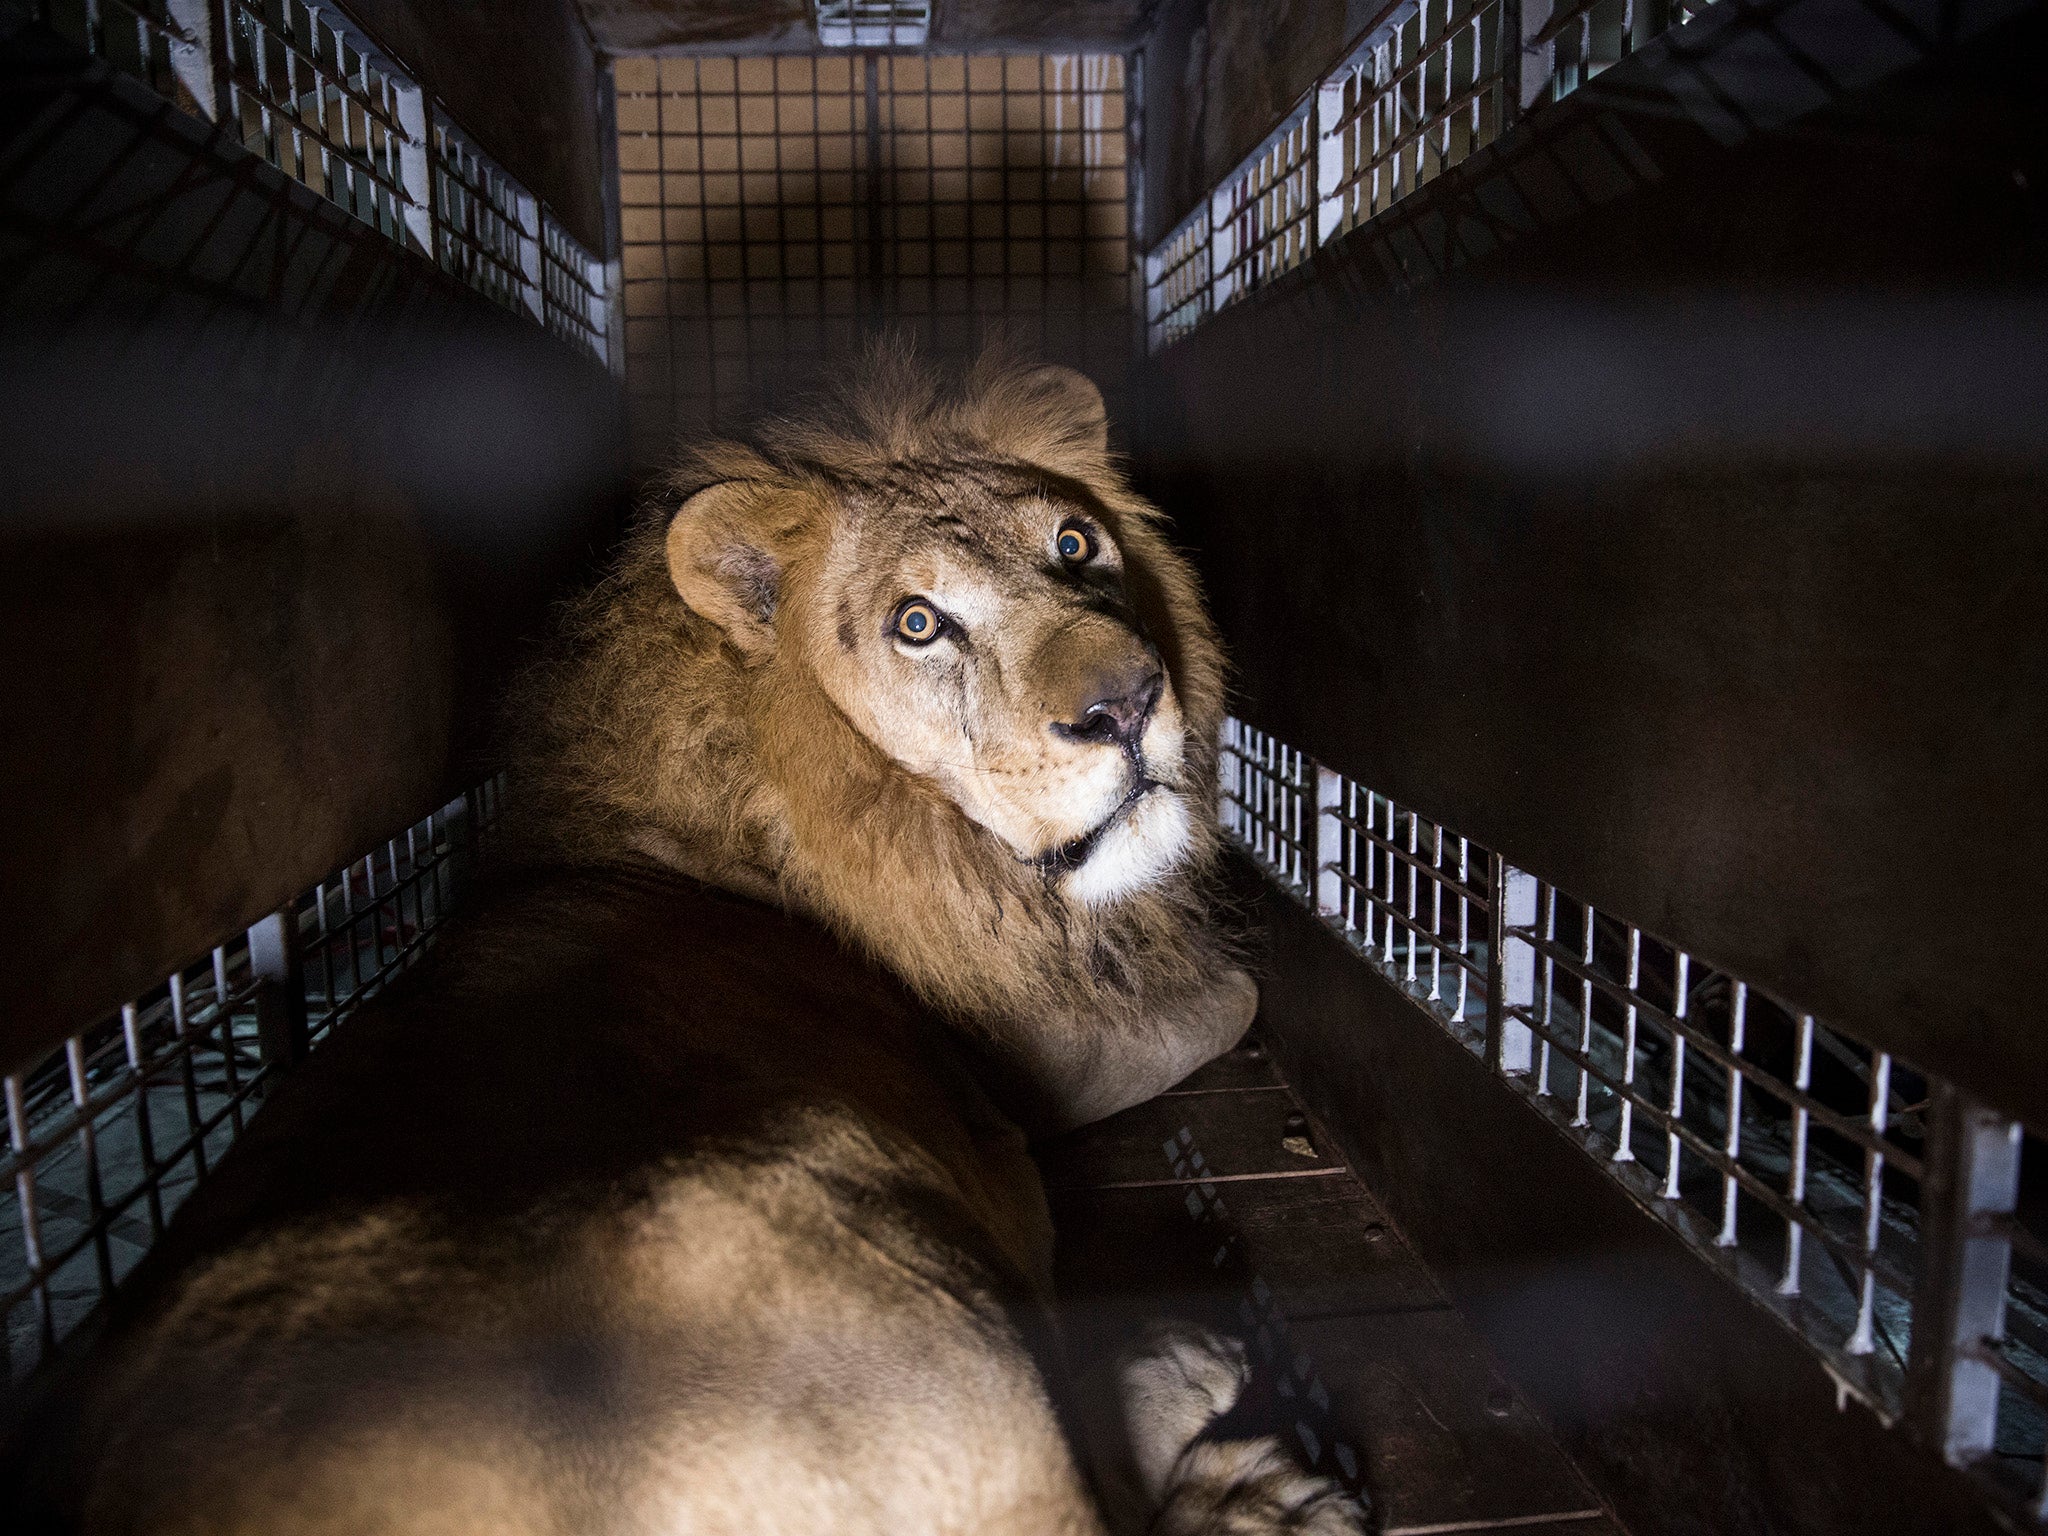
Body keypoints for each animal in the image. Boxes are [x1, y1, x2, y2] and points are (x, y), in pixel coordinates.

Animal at [24, 352, 1368, 1536]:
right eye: (918, 623)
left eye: (1076, 546)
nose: (1124, 705)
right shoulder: (1025, 1072)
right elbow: (1231, 999)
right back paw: (1237, 1449)